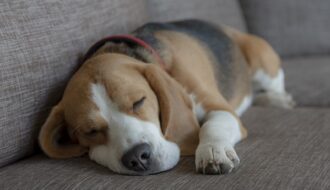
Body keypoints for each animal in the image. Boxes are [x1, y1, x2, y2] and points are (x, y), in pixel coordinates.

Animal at [38, 19, 294, 175]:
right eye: (90, 131)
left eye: (139, 102)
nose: (138, 157)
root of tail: (227, 28)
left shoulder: (219, 107)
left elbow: (211, 126)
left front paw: (213, 151)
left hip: (262, 60)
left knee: (273, 84)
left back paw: (278, 99)